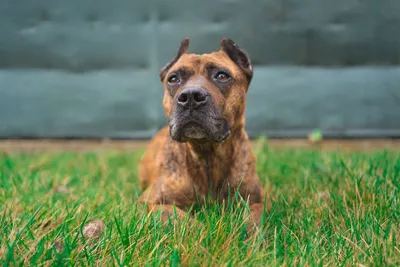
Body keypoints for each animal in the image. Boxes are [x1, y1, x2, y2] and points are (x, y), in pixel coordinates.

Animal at [137, 37, 268, 230]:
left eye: (222, 76)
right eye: (173, 79)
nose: (191, 96)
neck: (206, 156)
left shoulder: (258, 201)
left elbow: (252, 221)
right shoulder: (150, 203)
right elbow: (181, 219)